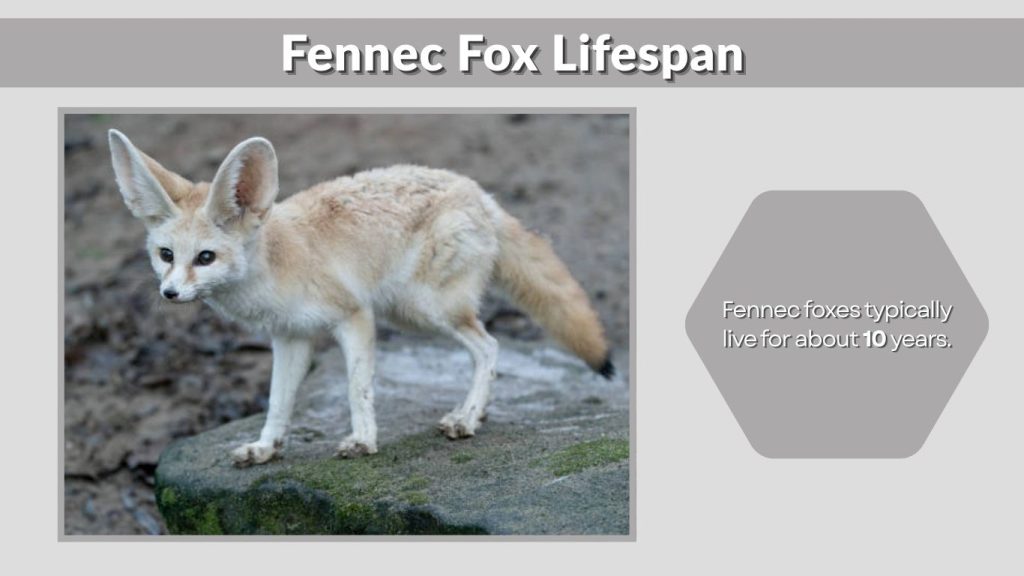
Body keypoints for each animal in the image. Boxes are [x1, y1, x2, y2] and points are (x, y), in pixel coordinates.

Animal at [107, 129, 614, 466]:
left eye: (206, 257)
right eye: (166, 255)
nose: (170, 293)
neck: (276, 264)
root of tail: (479, 192)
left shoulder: (354, 317)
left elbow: (357, 388)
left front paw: (364, 441)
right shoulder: (290, 338)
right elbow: (277, 402)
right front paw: (266, 447)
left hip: (423, 310)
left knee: (489, 346)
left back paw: (467, 418)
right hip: (410, 312)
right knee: (486, 346)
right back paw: (478, 412)